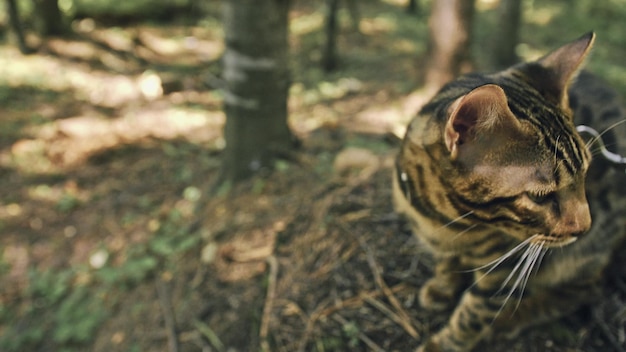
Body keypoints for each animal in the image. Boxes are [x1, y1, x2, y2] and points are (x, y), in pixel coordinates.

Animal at [392, 31, 624, 350]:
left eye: (586, 174)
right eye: (540, 197)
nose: (583, 227)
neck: (446, 219)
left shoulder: (505, 264)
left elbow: (473, 313)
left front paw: (446, 344)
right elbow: (446, 262)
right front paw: (442, 285)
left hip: (586, 252)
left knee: (586, 288)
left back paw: (512, 319)